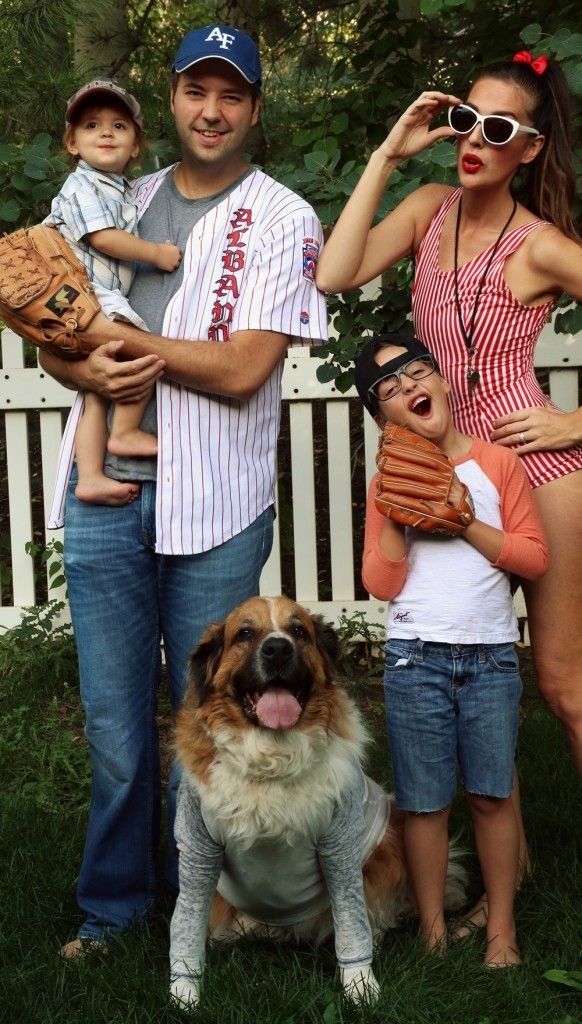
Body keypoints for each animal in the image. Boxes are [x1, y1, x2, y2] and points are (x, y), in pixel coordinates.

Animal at [167, 598, 463, 1003]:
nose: (277, 649)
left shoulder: (339, 846)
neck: (272, 764)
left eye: (298, 631)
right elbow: (188, 920)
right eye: (245, 633)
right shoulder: (199, 848)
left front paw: (360, 984)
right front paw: (184, 989)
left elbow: (352, 921)